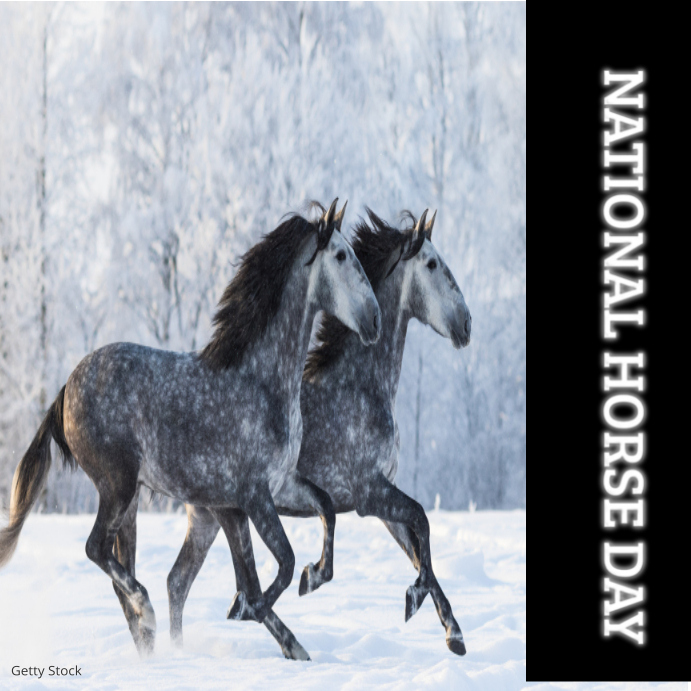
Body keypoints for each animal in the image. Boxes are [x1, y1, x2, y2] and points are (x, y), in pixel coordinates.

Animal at [0, 199, 381, 659]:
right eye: (341, 256)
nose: (375, 320)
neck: (261, 382)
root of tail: (65, 390)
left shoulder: (278, 486)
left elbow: (324, 510)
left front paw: (313, 580)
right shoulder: (252, 496)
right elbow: (279, 567)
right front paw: (256, 612)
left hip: (130, 501)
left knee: (126, 569)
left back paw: (153, 644)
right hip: (117, 485)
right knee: (98, 550)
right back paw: (147, 611)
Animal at [171, 208, 471, 656]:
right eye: (433, 264)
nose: (466, 324)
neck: (360, 387)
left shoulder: (381, 499)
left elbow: (420, 550)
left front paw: (454, 634)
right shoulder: (369, 493)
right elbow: (423, 524)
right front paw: (414, 602)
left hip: (207, 517)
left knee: (178, 583)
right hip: (228, 511)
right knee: (227, 584)